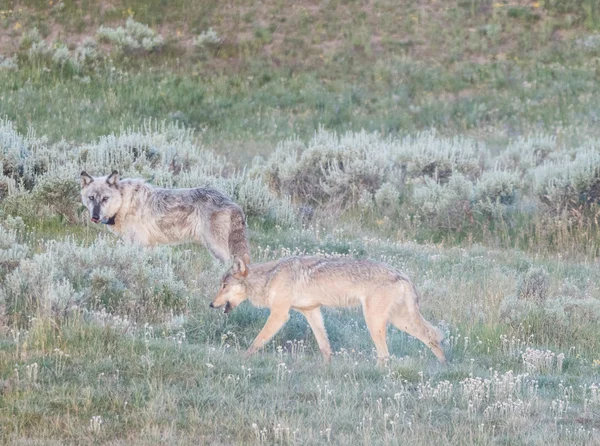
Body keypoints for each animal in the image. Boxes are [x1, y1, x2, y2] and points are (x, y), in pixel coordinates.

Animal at [79, 169, 248, 264]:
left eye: (105, 198)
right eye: (91, 198)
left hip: (216, 248)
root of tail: (232, 202)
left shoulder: (140, 244)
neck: (123, 203)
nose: (95, 216)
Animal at [210, 256, 446, 364]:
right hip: (399, 321)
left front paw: (242, 358)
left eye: (224, 286)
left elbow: (257, 340)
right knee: (432, 336)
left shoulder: (279, 314)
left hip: (374, 322)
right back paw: (443, 364)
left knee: (385, 355)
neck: (269, 278)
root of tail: (402, 274)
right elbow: (324, 346)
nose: (211, 305)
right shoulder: (312, 311)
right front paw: (327, 367)